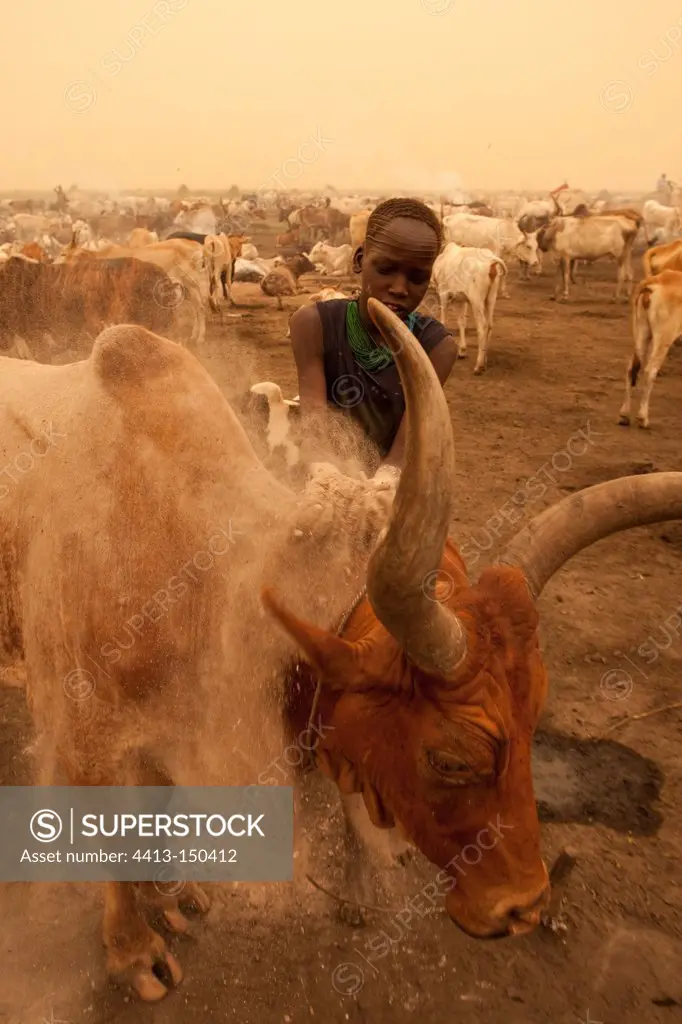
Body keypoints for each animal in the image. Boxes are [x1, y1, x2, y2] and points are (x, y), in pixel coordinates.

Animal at [2, 303, 675, 999]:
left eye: (535, 712)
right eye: (451, 759)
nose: (524, 905)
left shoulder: (167, 730)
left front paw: (168, 896)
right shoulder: (83, 734)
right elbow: (110, 841)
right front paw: (133, 950)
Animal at [430, 243, 503, 376]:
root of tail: (491, 261)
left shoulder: (443, 294)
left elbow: (443, 321)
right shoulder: (461, 300)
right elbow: (461, 322)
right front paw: (462, 351)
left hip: (476, 300)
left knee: (482, 326)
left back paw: (479, 366)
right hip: (491, 298)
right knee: (490, 325)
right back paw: (484, 360)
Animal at [614, 268, 679, 428]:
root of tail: (653, 283)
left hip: (641, 332)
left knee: (631, 369)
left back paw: (624, 415)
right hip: (663, 338)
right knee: (650, 371)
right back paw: (643, 417)